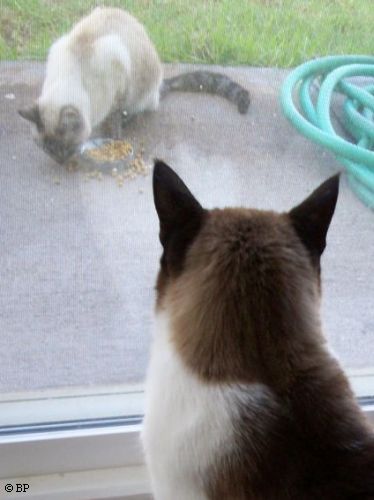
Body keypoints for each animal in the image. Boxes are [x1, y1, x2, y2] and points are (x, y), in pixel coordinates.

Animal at [19, 6, 250, 164]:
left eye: (65, 147)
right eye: (47, 149)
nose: (60, 161)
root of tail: (158, 86)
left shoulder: (117, 87)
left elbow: (114, 119)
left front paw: (112, 137)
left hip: (140, 89)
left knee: (141, 109)